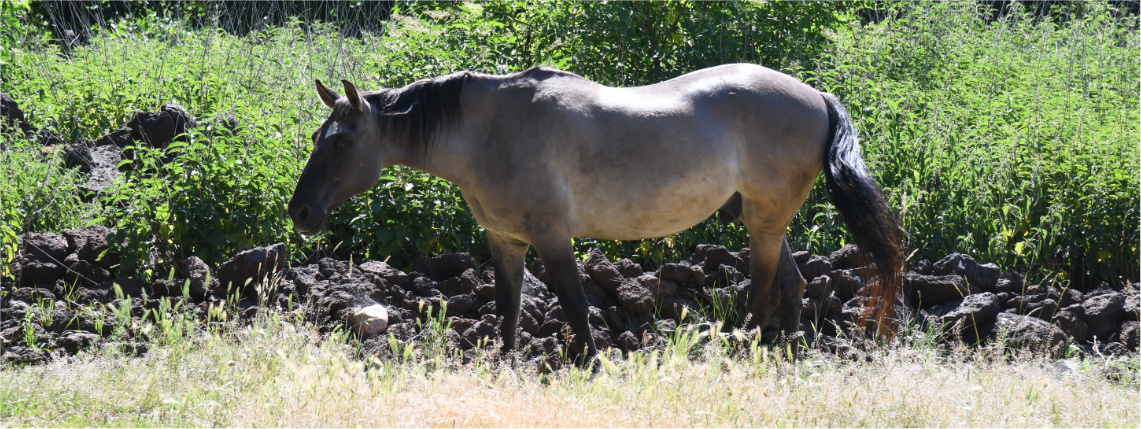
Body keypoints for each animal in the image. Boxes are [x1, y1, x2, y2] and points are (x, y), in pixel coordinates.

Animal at [289, 63, 903, 362]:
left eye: (342, 142)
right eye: (319, 137)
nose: (300, 213)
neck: (486, 133)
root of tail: (817, 97)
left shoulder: (551, 237)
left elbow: (574, 305)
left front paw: (589, 363)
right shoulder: (504, 240)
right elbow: (508, 311)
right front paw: (505, 366)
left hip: (763, 223)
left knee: (763, 293)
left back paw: (749, 354)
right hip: (767, 222)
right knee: (792, 287)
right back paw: (785, 355)